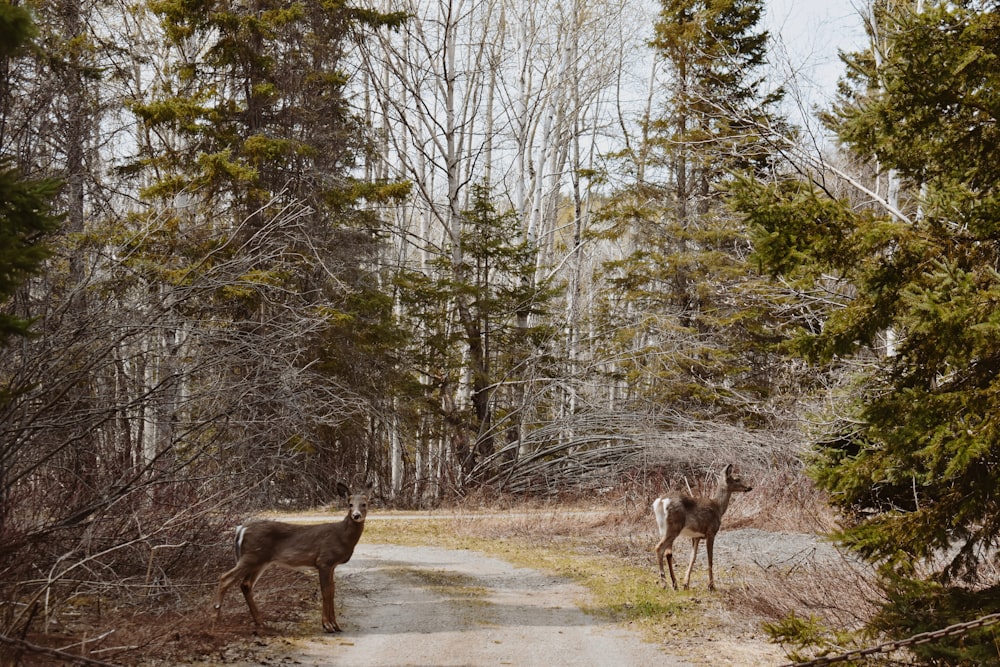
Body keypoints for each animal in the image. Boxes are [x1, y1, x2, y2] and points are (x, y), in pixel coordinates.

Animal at [212, 482, 372, 636]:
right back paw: (215, 620)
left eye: (364, 504)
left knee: (245, 584)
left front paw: (336, 625)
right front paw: (327, 626)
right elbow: (326, 592)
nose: (356, 515)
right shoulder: (324, 560)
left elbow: (332, 591)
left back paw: (260, 622)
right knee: (225, 577)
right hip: (251, 556)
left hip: (260, 561)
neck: (342, 536)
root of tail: (241, 529)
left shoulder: (332, 565)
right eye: (350, 504)